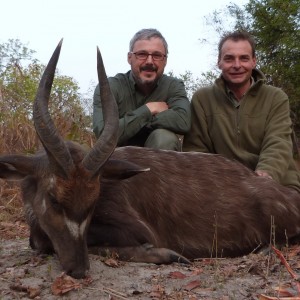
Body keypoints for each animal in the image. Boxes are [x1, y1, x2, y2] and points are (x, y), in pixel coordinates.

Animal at [0, 41, 300, 278]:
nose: (79, 269)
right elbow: (39, 242)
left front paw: (168, 254)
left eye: (93, 202)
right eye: (53, 199)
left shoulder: (138, 230)